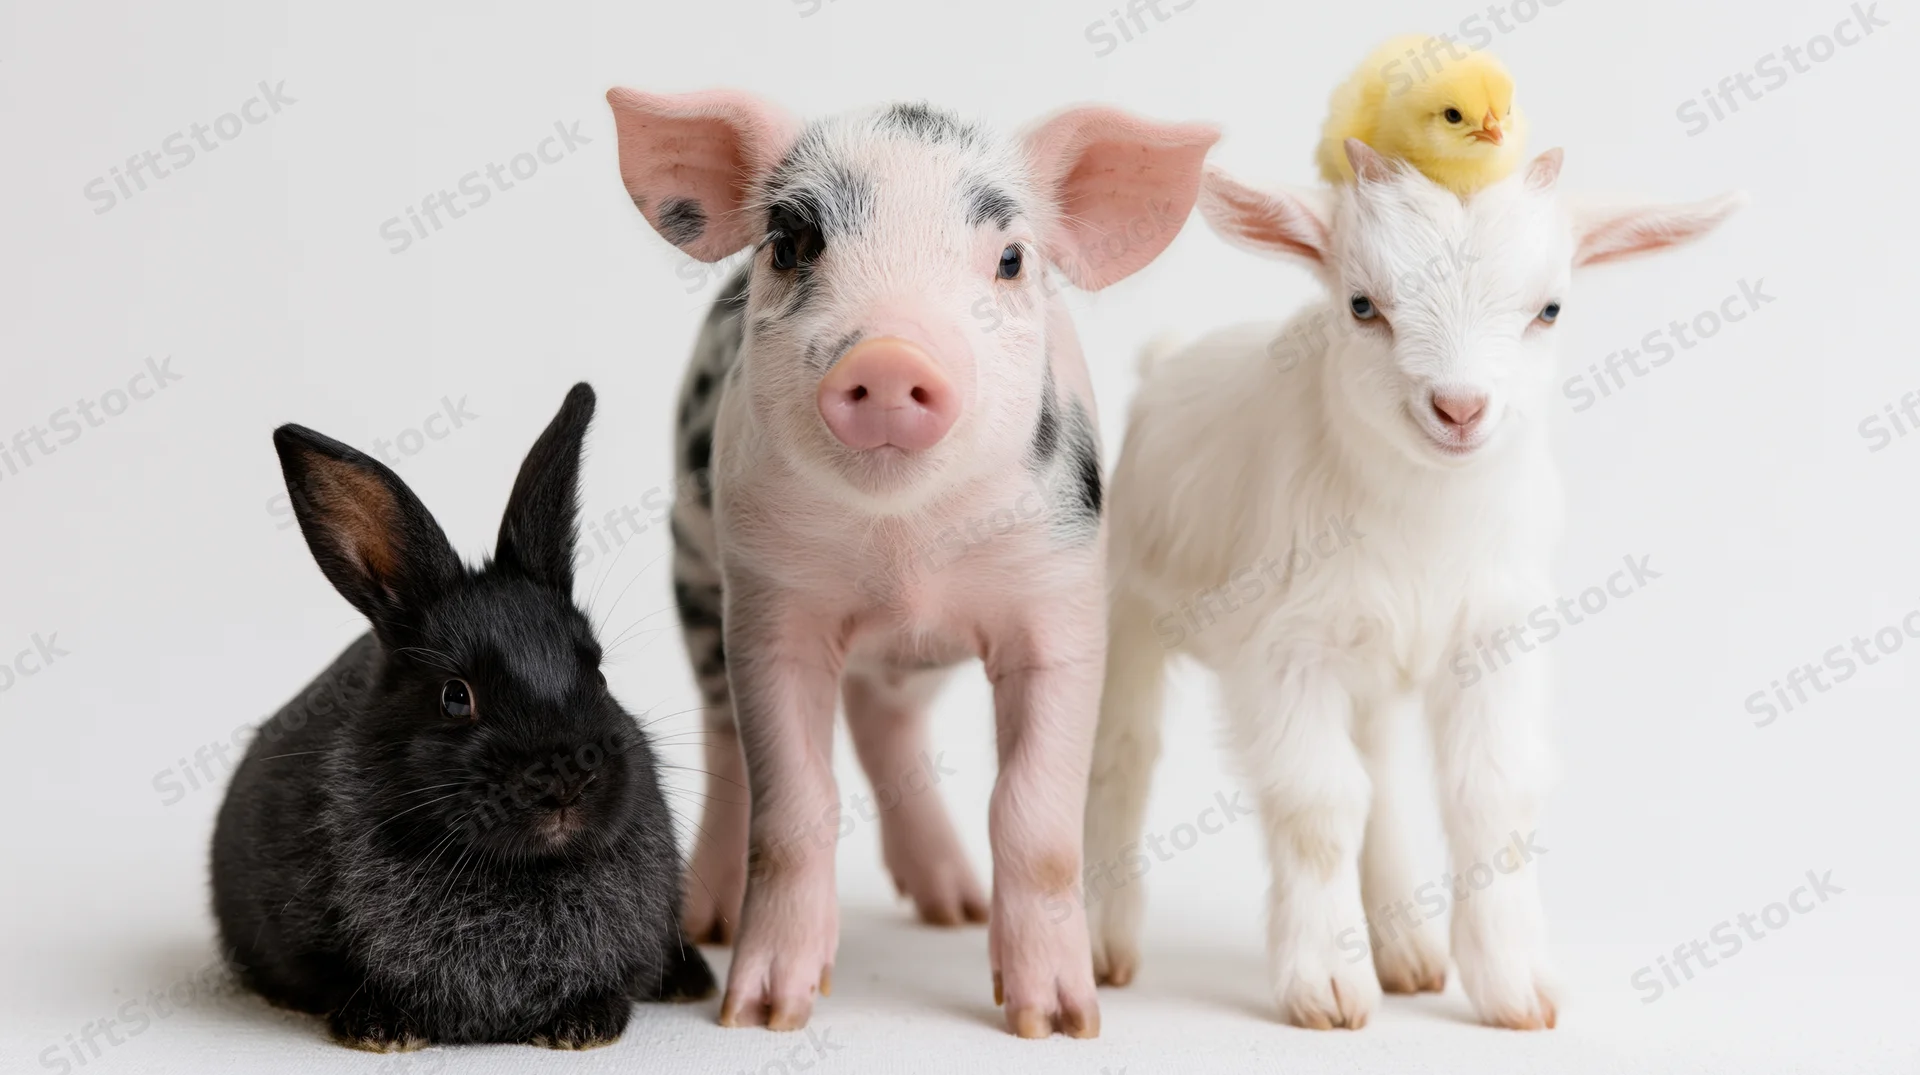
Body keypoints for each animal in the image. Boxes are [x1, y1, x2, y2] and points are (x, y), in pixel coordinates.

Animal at [606, 89, 1217, 1038]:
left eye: (1010, 259)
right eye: (790, 242)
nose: (890, 357)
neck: (904, 560)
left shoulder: (1059, 596)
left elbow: (1035, 816)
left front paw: (1057, 1022)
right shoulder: (769, 602)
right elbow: (794, 805)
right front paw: (765, 1014)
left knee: (883, 722)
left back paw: (952, 906)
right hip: (694, 570)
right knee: (724, 737)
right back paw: (706, 920)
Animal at [1082, 141, 1742, 1031]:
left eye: (1550, 310)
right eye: (1363, 305)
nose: (1459, 408)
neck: (1424, 517)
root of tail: (1166, 356)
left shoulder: (1494, 634)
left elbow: (1489, 792)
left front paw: (1514, 982)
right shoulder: (1288, 650)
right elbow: (1321, 804)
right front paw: (1327, 983)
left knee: (1383, 774)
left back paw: (1406, 950)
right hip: (1129, 599)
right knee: (1122, 750)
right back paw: (1100, 941)